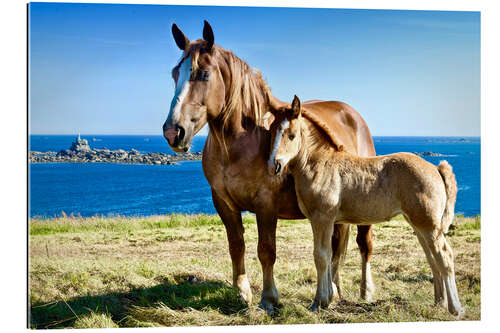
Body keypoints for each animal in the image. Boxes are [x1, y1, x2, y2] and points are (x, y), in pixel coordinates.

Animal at [162, 20, 376, 312]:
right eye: (175, 74)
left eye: (203, 74)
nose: (173, 132)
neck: (242, 141)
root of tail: (352, 115)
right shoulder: (223, 203)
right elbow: (236, 245)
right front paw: (242, 292)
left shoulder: (266, 205)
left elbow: (266, 251)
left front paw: (269, 298)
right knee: (335, 247)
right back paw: (334, 290)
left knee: (364, 245)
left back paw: (366, 292)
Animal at [270, 94, 464, 316]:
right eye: (272, 132)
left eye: (292, 135)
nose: (275, 165)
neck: (321, 164)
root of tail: (436, 168)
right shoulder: (322, 221)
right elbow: (327, 255)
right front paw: (327, 299)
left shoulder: (322, 218)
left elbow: (321, 256)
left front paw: (318, 302)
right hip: (419, 225)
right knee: (432, 258)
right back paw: (439, 303)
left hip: (429, 225)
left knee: (445, 257)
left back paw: (455, 308)